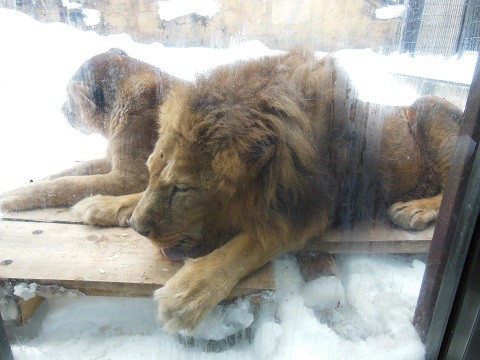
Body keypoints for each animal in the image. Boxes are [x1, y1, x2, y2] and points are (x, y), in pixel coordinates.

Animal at [0, 47, 180, 221]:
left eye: (69, 97)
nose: (61, 109)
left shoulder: (131, 178)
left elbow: (69, 184)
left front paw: (13, 195)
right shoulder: (111, 159)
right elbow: (79, 168)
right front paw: (41, 179)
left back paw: (100, 207)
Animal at [70, 50, 462, 332]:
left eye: (183, 189)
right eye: (150, 172)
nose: (138, 228)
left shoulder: (309, 212)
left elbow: (251, 244)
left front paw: (187, 295)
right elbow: (134, 196)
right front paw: (100, 205)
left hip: (432, 113)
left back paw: (413, 209)